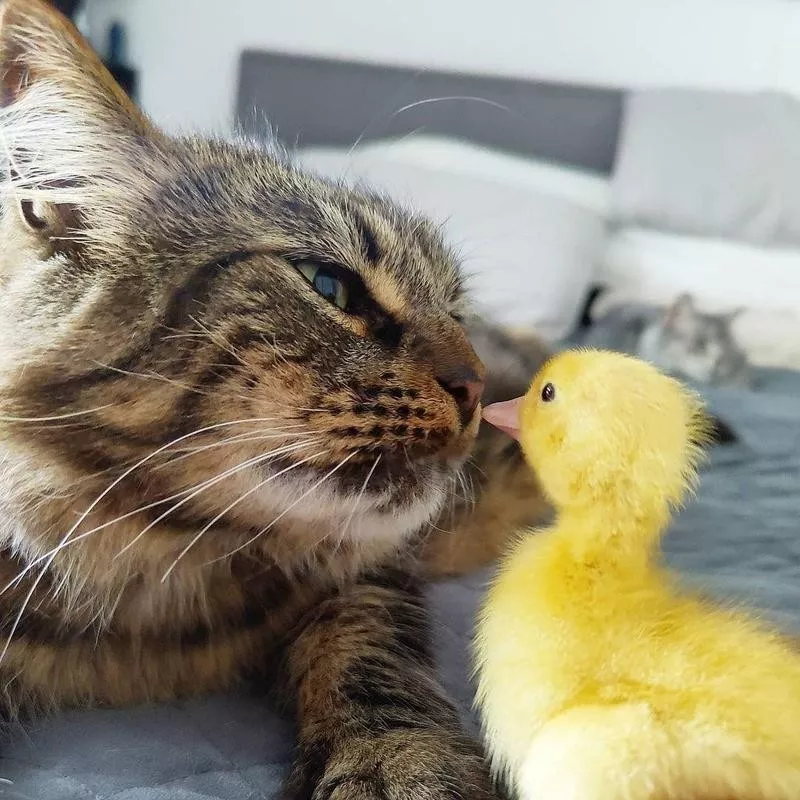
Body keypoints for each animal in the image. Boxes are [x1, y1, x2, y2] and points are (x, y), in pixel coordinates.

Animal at [0, 3, 548, 796]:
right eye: (329, 285)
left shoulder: (372, 574)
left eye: (454, 311)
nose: (474, 388)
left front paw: (398, 765)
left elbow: (372, 662)